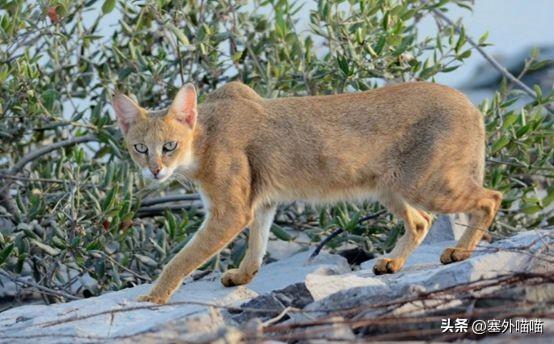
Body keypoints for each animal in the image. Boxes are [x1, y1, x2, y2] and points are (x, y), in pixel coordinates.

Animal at [112, 82, 500, 306]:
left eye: (169, 146)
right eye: (140, 148)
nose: (155, 170)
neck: (203, 140)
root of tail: (470, 104)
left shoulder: (230, 211)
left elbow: (183, 258)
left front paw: (154, 295)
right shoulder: (259, 201)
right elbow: (258, 242)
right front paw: (243, 276)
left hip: (423, 184)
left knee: (490, 197)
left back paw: (460, 251)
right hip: (391, 187)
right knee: (421, 221)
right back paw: (393, 263)